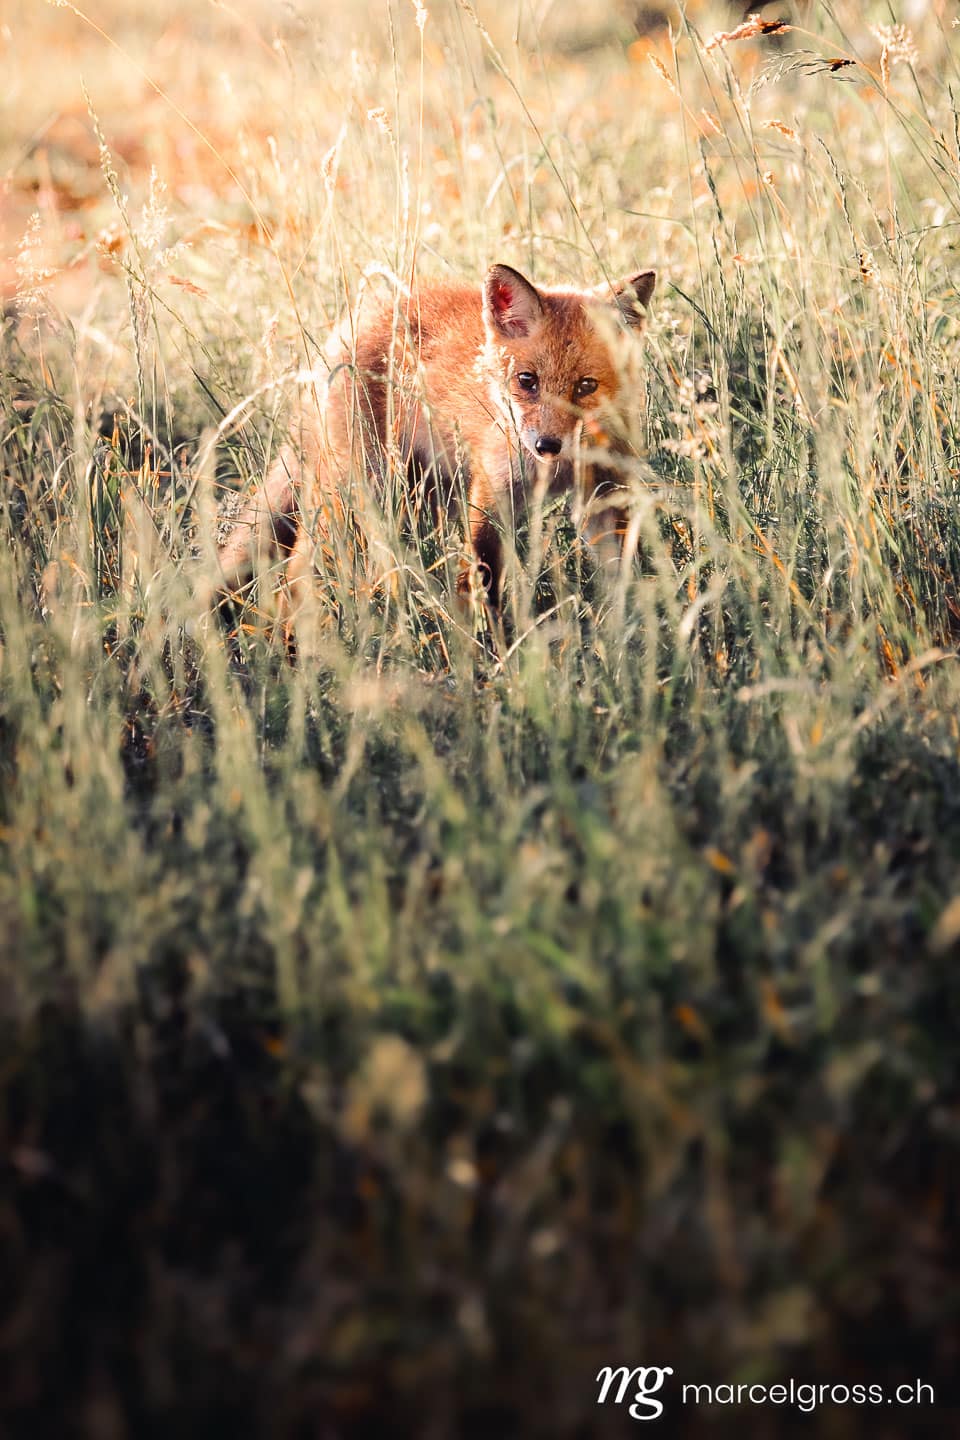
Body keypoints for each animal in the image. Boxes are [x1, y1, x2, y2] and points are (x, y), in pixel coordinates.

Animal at [215, 261, 656, 630]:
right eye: (527, 381)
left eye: (586, 386)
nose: (547, 445)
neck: (561, 470)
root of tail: (354, 320)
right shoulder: (493, 493)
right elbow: (482, 575)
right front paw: (489, 648)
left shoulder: (605, 494)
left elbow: (620, 573)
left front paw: (624, 631)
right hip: (361, 488)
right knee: (299, 567)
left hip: (427, 489)